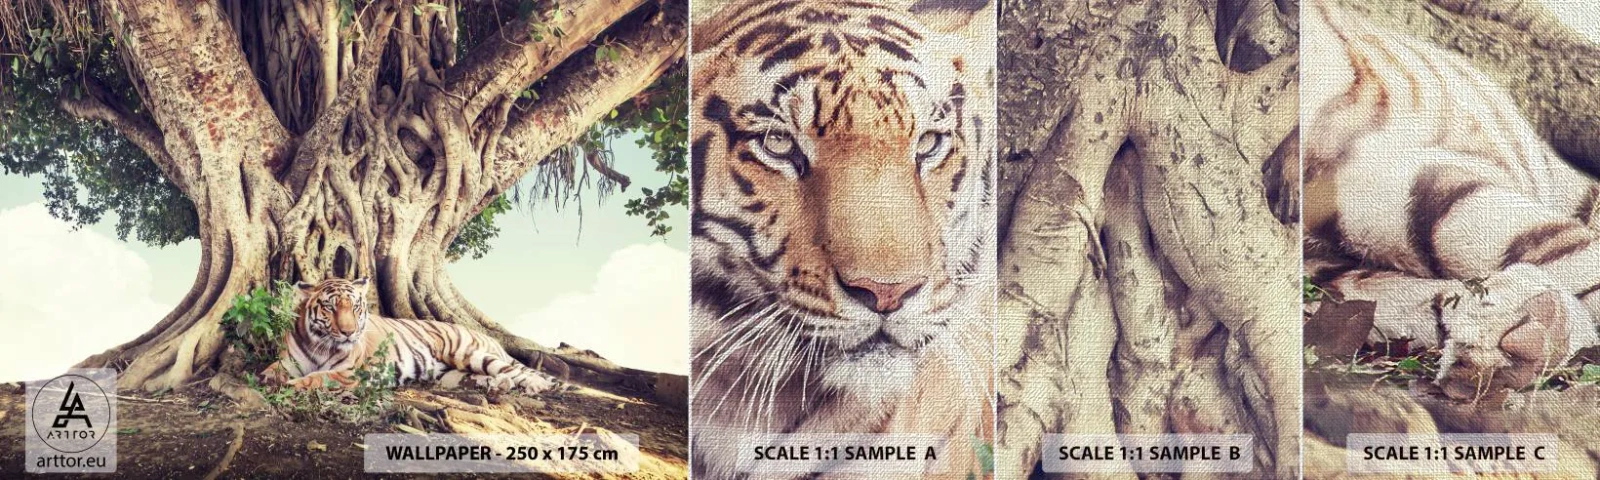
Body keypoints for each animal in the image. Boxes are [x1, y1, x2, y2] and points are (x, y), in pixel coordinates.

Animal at [261, 277, 557, 395]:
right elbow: (272, 370)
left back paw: (535, 386)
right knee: (496, 376)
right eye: (330, 307)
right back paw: (497, 386)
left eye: (355, 307)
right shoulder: (288, 361)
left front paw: (292, 385)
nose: (348, 332)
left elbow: (317, 378)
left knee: (516, 371)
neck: (319, 345)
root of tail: (491, 337)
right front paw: (266, 378)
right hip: (455, 372)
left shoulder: (349, 372)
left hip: (468, 353)